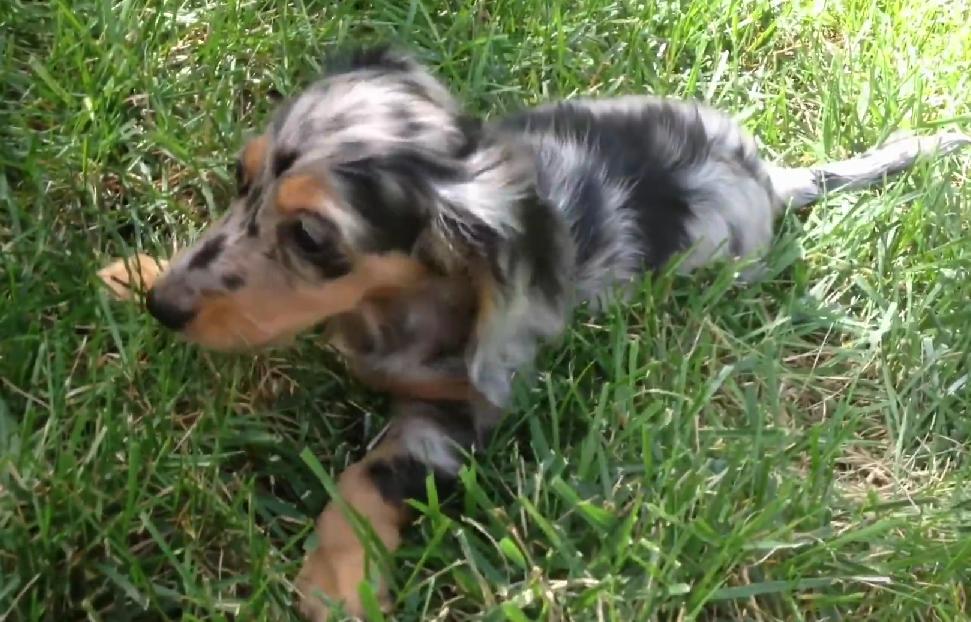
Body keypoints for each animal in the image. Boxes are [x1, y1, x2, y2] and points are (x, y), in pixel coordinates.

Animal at [131, 46, 971, 620]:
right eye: (240, 180)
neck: (398, 305)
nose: (163, 307)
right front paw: (129, 270)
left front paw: (338, 581)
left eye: (309, 237)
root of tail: (772, 180)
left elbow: (369, 475)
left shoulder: (459, 416)